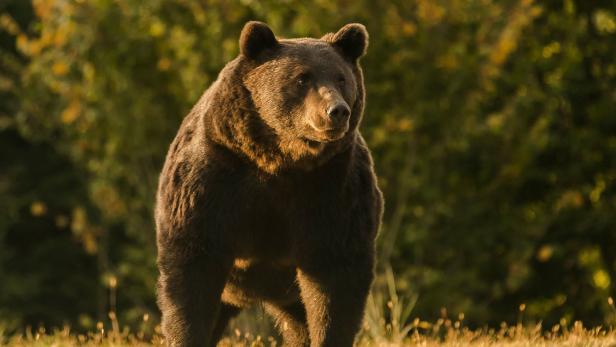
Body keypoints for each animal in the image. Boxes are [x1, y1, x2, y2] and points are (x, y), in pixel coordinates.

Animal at [155, 21, 380, 347]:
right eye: (301, 78)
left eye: (341, 78)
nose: (337, 110)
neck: (281, 160)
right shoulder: (214, 178)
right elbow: (192, 271)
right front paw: (185, 335)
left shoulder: (333, 189)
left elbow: (336, 280)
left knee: (299, 322)